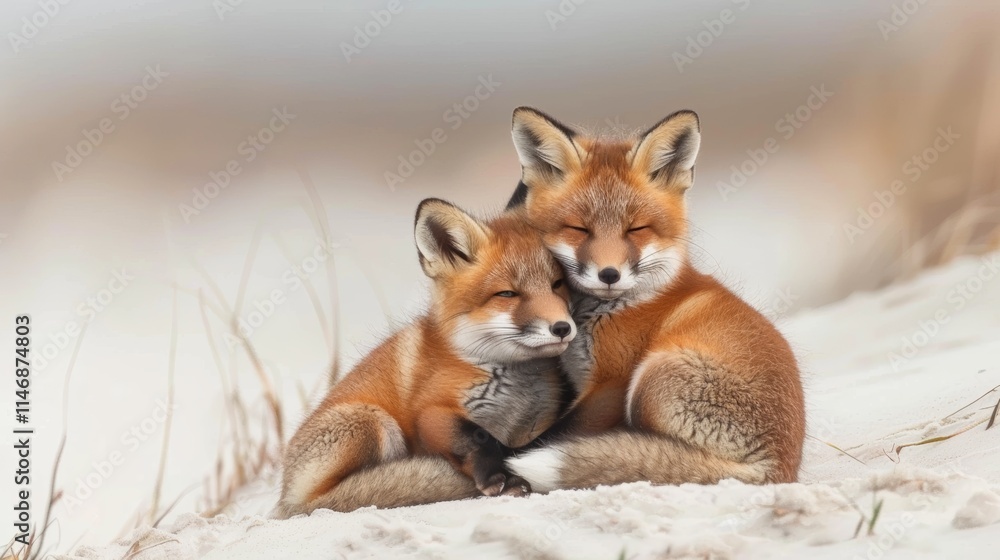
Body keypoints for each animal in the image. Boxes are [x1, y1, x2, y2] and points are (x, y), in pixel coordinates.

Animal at [275, 198, 577, 518]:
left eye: (557, 284)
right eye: (507, 294)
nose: (562, 328)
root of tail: (285, 499)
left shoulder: (534, 422)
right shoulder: (431, 411)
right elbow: (473, 438)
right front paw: (500, 477)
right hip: (373, 423)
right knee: (338, 495)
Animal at [502, 107, 806, 491]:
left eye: (636, 229)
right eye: (579, 229)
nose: (609, 274)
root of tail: (778, 471)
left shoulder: (612, 383)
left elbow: (553, 435)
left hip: (651, 377)